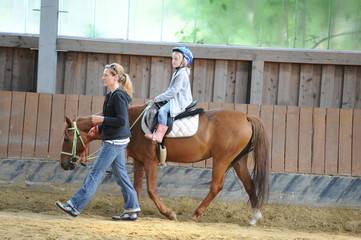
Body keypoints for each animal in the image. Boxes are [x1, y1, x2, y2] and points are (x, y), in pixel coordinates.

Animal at [59, 104, 268, 226]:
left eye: (66, 139)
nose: (63, 164)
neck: (131, 122)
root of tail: (246, 117)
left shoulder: (150, 162)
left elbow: (151, 190)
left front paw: (169, 214)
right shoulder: (139, 161)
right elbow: (136, 188)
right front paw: (131, 212)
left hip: (222, 160)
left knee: (216, 186)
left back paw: (196, 214)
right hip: (237, 161)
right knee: (250, 185)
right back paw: (254, 217)